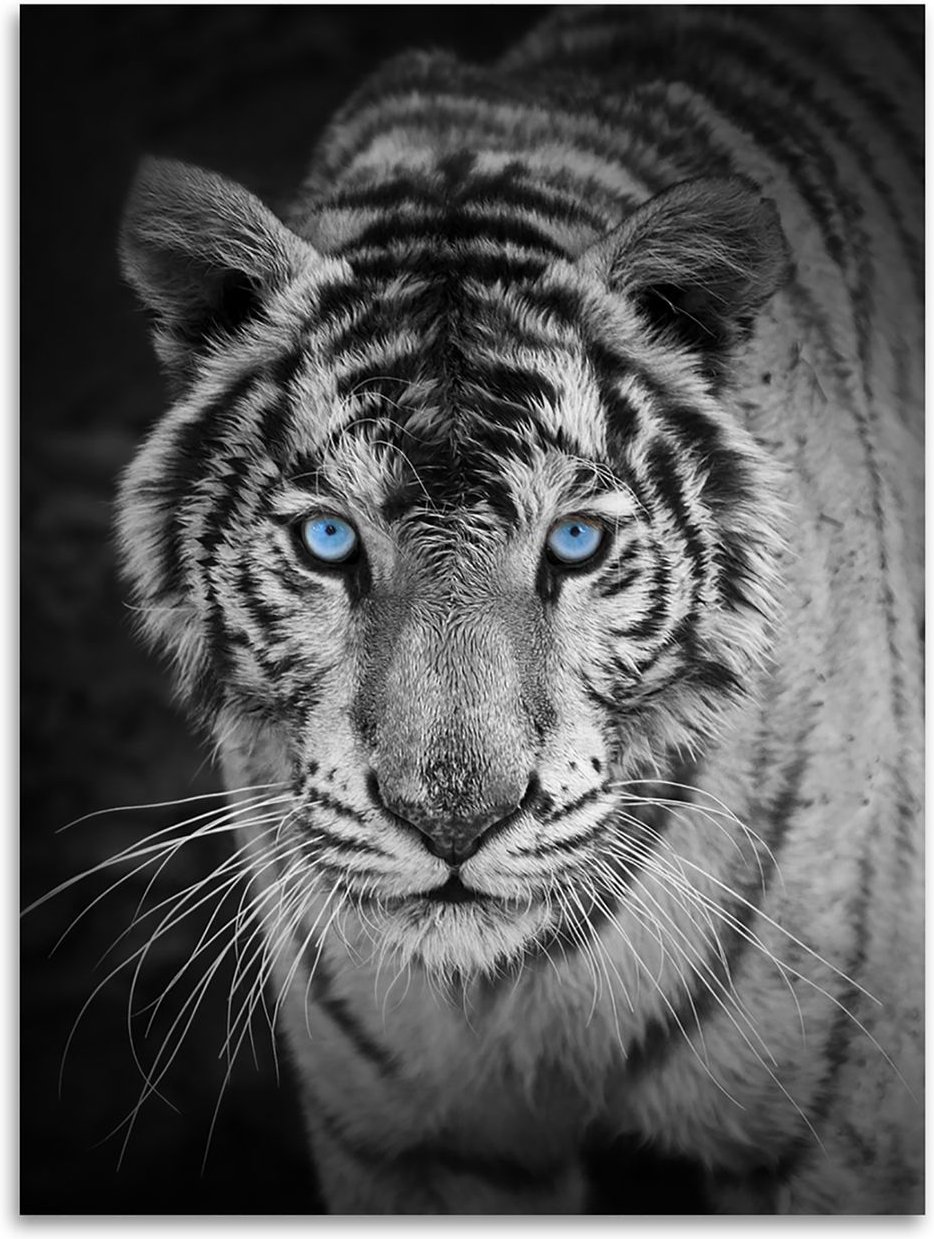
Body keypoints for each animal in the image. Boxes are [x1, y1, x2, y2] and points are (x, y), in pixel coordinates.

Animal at [114, 4, 923, 1215]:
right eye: (328, 540)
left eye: (575, 544)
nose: (455, 822)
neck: (515, 986)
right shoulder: (421, 1145)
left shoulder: (836, 1141)